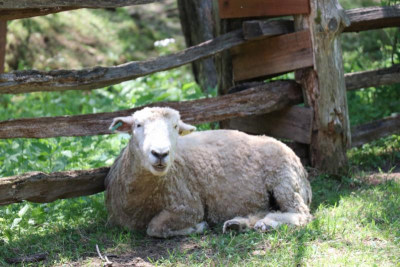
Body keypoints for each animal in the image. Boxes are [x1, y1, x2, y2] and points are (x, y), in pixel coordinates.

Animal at [104, 107, 312, 239]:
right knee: (266, 210)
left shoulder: (188, 206)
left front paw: (198, 227)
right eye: (138, 125)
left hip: (285, 182)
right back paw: (239, 224)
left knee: (302, 215)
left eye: (175, 126)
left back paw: (268, 223)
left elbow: (155, 227)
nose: (160, 153)